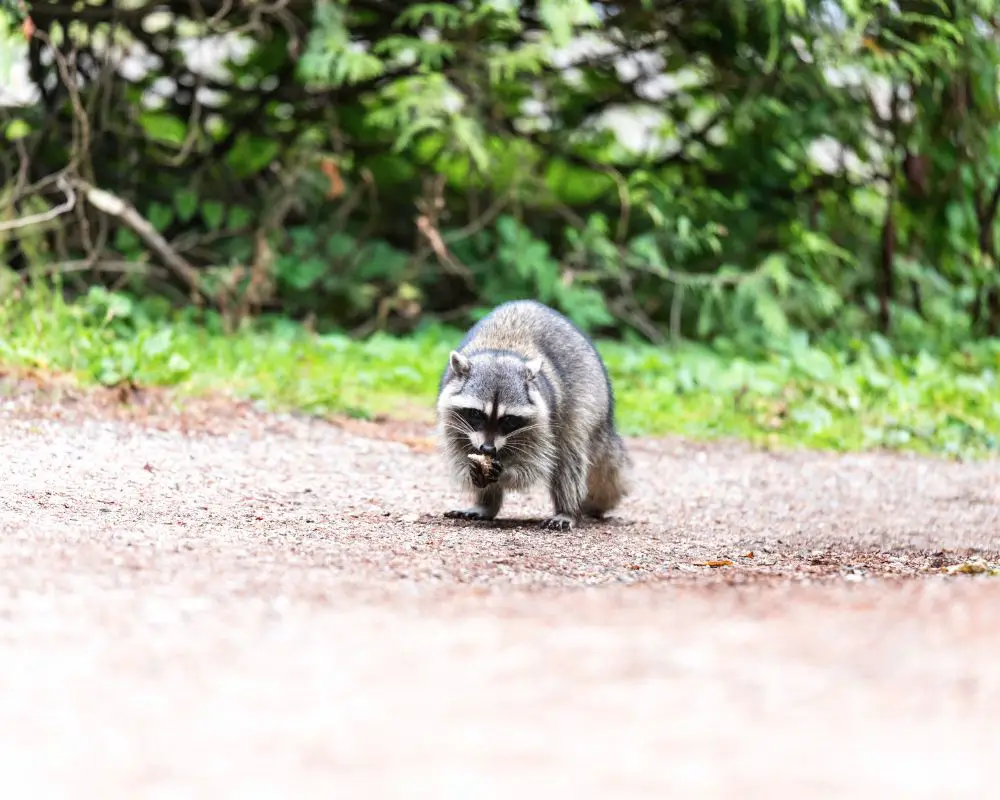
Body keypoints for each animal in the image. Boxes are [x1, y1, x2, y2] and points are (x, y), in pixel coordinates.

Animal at [436, 296, 628, 528]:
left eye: (509, 420)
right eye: (476, 414)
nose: (488, 449)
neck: (500, 350)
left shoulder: (543, 420)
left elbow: (535, 464)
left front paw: (507, 472)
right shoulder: (453, 417)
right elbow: (459, 452)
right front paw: (476, 476)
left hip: (588, 397)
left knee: (569, 456)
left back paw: (567, 509)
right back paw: (486, 504)